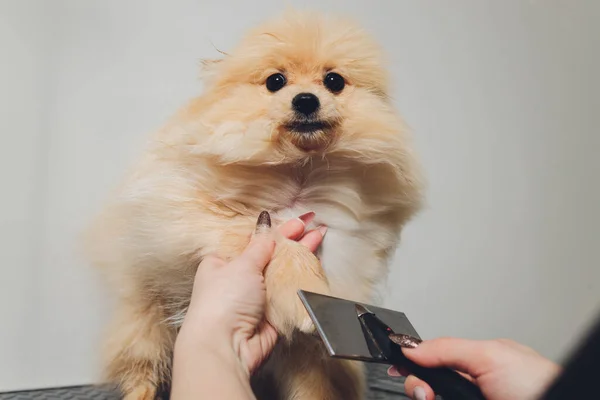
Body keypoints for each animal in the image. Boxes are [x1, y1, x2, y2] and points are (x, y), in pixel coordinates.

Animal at [84, 9, 424, 400]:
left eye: (334, 81)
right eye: (275, 81)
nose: (306, 99)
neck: (299, 172)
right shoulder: (178, 207)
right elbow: (263, 228)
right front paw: (297, 284)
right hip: (146, 323)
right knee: (141, 365)